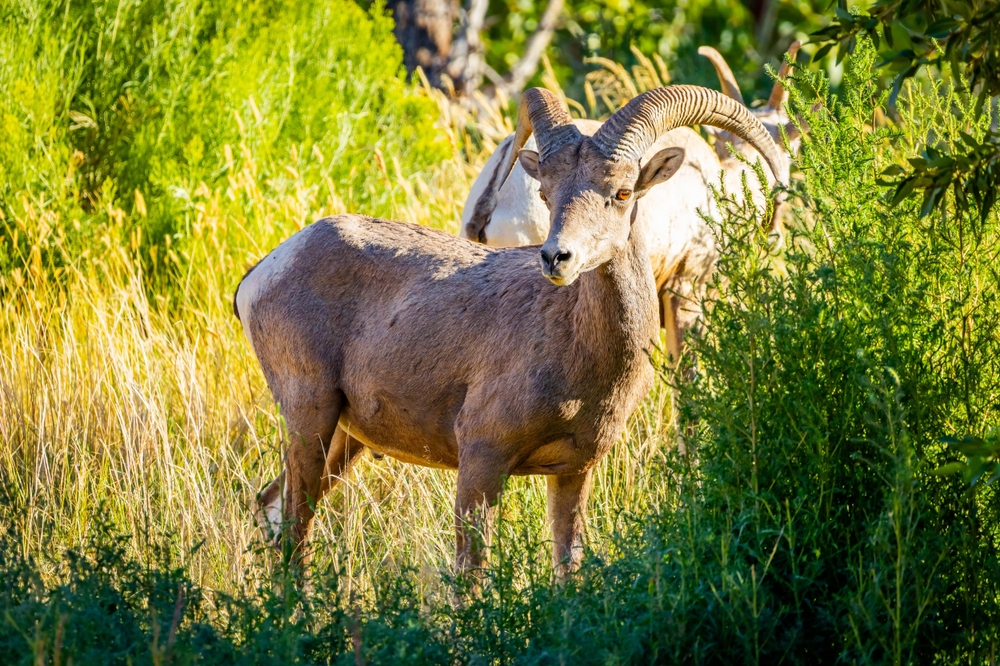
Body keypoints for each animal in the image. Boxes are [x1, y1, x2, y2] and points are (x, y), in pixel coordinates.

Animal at [235, 85, 783, 577]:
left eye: (623, 192)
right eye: (547, 191)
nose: (556, 257)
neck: (578, 350)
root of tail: (265, 270)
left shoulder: (572, 474)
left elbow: (568, 570)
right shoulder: (482, 463)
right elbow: (472, 579)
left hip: (344, 440)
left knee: (274, 508)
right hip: (310, 416)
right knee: (294, 534)